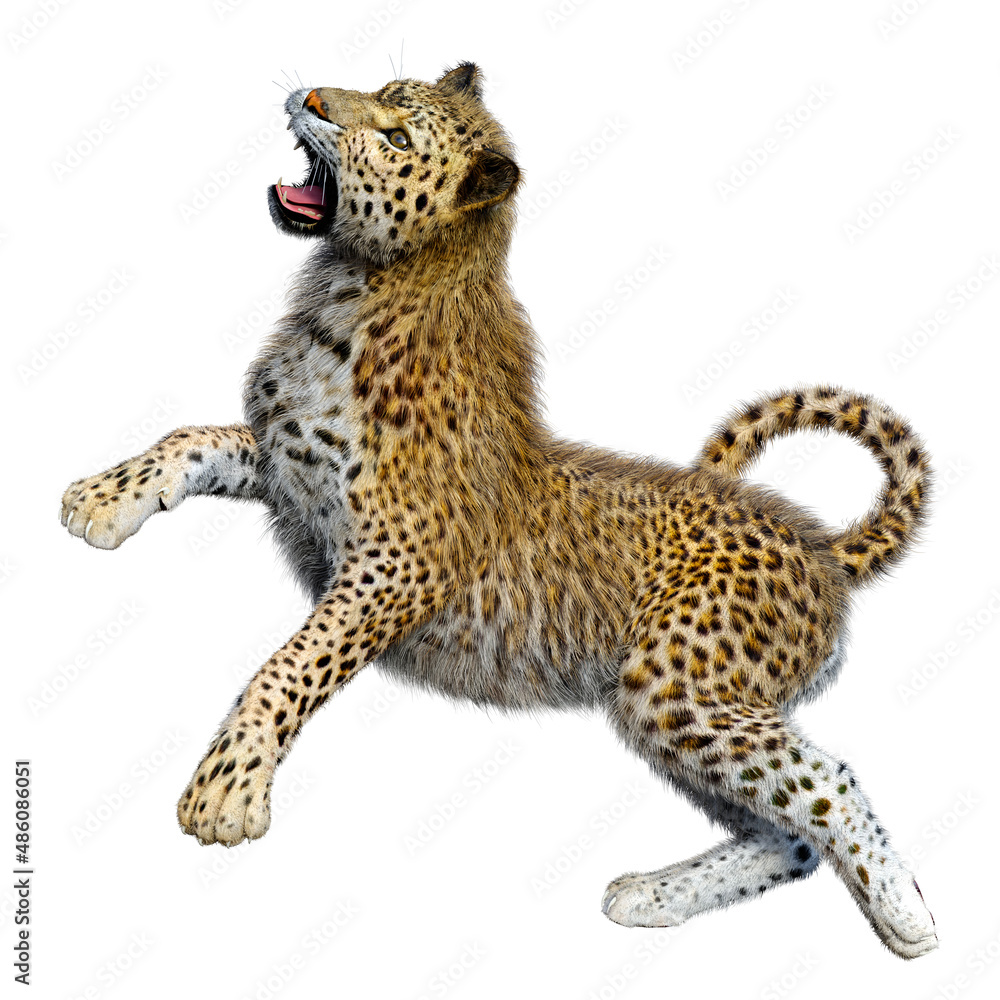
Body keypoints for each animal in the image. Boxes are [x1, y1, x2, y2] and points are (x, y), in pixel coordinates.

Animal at [60, 62, 938, 959]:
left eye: (396, 136)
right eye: (381, 88)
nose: (310, 99)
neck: (351, 289)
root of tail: (822, 545)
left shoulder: (400, 562)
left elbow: (290, 665)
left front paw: (227, 789)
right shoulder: (286, 469)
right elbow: (190, 437)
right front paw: (101, 500)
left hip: (678, 685)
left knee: (824, 783)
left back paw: (908, 920)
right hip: (674, 709)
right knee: (787, 836)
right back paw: (653, 896)